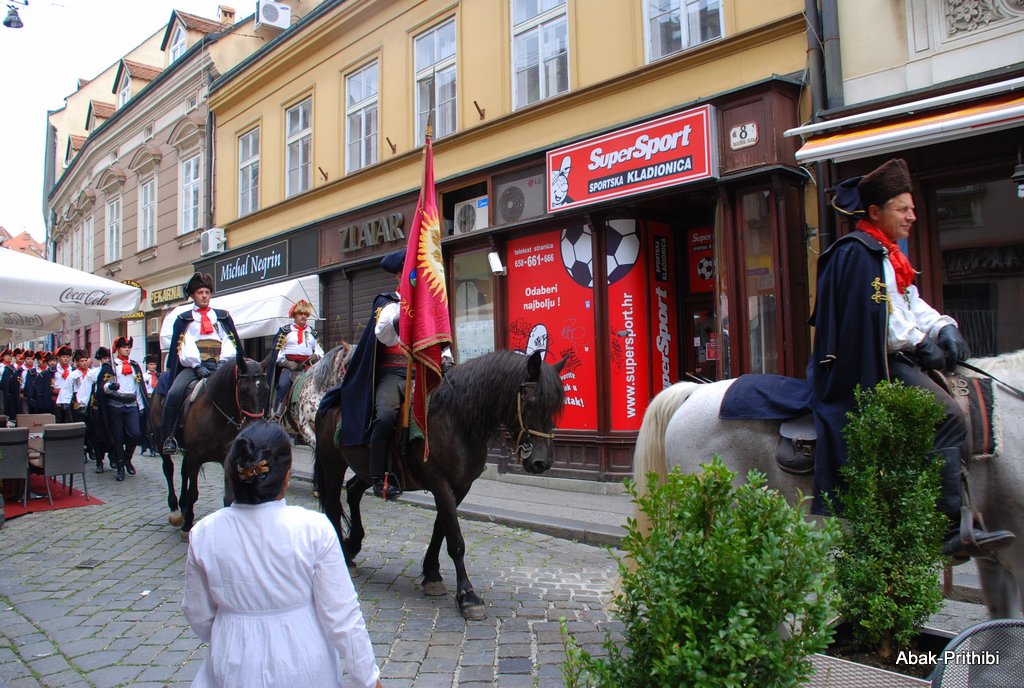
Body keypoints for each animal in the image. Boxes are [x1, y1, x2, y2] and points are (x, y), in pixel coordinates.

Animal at [150, 355, 272, 538]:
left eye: (266, 389)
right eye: (243, 389)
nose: (256, 427)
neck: (216, 415)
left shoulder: (227, 459)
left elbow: (229, 497)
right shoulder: (195, 456)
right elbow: (193, 493)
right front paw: (187, 527)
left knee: (183, 472)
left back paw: (183, 508)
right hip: (161, 440)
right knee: (168, 469)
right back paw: (175, 511)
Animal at [314, 349, 566, 620]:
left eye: (554, 407)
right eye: (530, 403)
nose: (542, 462)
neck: (456, 418)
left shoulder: (460, 487)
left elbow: (441, 529)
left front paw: (432, 574)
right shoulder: (440, 483)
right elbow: (455, 541)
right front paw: (467, 596)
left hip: (365, 468)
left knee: (352, 491)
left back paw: (353, 546)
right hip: (333, 463)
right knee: (332, 506)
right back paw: (343, 556)